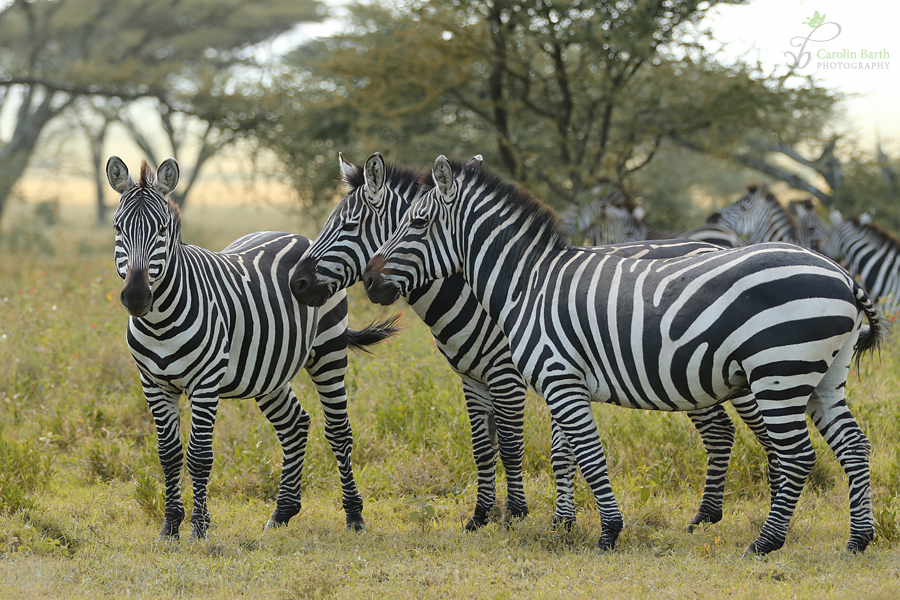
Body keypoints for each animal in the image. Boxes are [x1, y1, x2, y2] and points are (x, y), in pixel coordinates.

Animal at [108, 155, 398, 540]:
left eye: (163, 230)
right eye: (118, 228)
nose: (138, 296)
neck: (159, 322)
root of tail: (293, 235)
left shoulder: (205, 383)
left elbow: (199, 455)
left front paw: (199, 529)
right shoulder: (153, 385)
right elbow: (168, 454)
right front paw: (170, 527)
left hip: (329, 351)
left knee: (338, 432)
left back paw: (354, 516)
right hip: (269, 370)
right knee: (295, 425)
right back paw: (282, 513)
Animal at [294, 155, 780, 536]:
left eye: (347, 226)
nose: (298, 283)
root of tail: (705, 243)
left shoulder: (508, 376)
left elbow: (513, 445)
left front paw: (517, 514)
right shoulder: (472, 378)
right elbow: (483, 446)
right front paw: (482, 516)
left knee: (760, 429)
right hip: (690, 377)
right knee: (721, 431)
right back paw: (706, 517)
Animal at [364, 154, 884, 552]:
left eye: (418, 222)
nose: (369, 281)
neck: (526, 283)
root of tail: (843, 275)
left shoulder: (560, 378)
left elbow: (589, 455)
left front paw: (609, 533)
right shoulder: (561, 383)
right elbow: (567, 454)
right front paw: (567, 524)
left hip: (779, 372)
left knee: (796, 454)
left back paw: (766, 543)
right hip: (822, 377)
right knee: (854, 446)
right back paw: (858, 540)